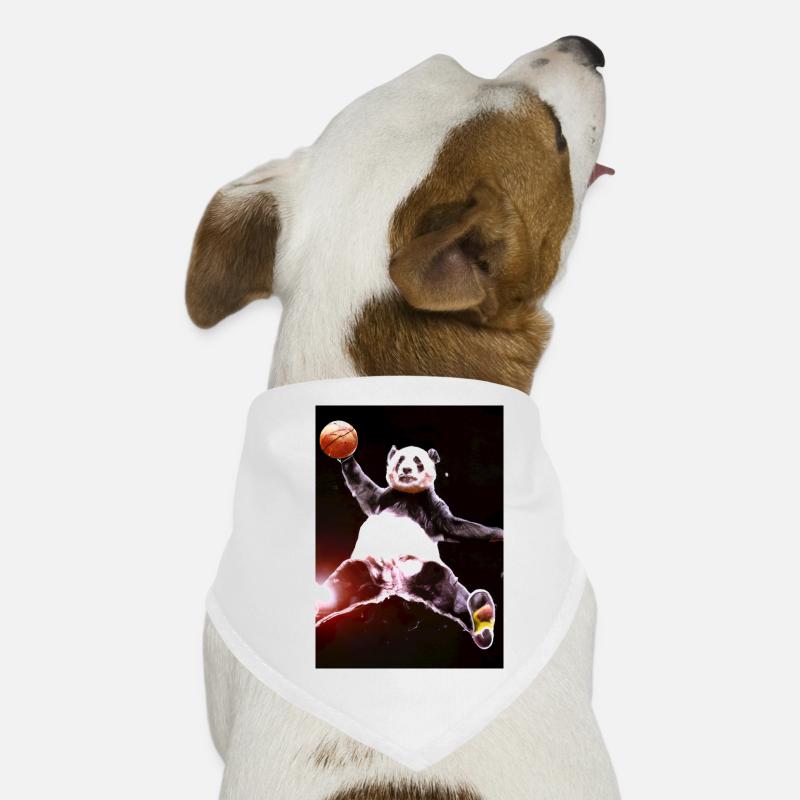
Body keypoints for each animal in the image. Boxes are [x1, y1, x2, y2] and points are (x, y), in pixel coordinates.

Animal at [317, 445, 502, 649]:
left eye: (417, 462)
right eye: (400, 460)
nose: (406, 470)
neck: (407, 495)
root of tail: (396, 585)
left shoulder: (431, 508)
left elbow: (454, 527)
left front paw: (497, 534)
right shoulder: (384, 498)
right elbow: (364, 489)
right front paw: (346, 455)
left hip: (419, 568)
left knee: (445, 589)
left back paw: (481, 618)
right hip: (366, 568)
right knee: (342, 586)